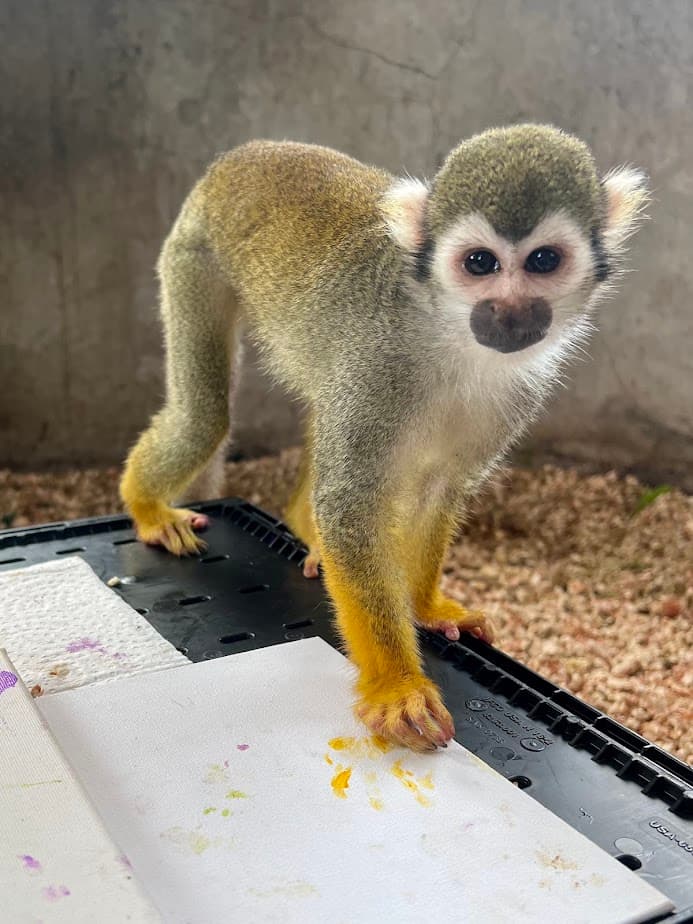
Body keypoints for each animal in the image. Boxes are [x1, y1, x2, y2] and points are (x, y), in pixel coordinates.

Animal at [120, 124, 648, 752]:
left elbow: (437, 491)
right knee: (205, 415)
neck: (452, 339)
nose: (509, 312)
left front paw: (425, 606)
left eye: (544, 260)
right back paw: (148, 507)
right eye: (480, 263)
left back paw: (304, 527)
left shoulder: (518, 390)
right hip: (192, 256)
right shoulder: (379, 363)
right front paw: (397, 687)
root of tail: (244, 154)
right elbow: (351, 504)